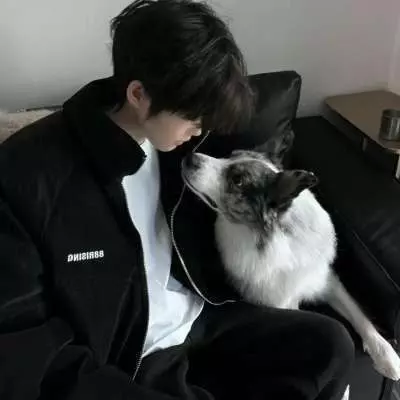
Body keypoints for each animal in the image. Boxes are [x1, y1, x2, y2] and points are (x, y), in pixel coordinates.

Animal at [181, 130, 400, 385]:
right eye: (229, 155)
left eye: (238, 180)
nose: (189, 157)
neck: (276, 235)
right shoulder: (281, 304)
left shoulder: (327, 281)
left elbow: (359, 316)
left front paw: (387, 356)